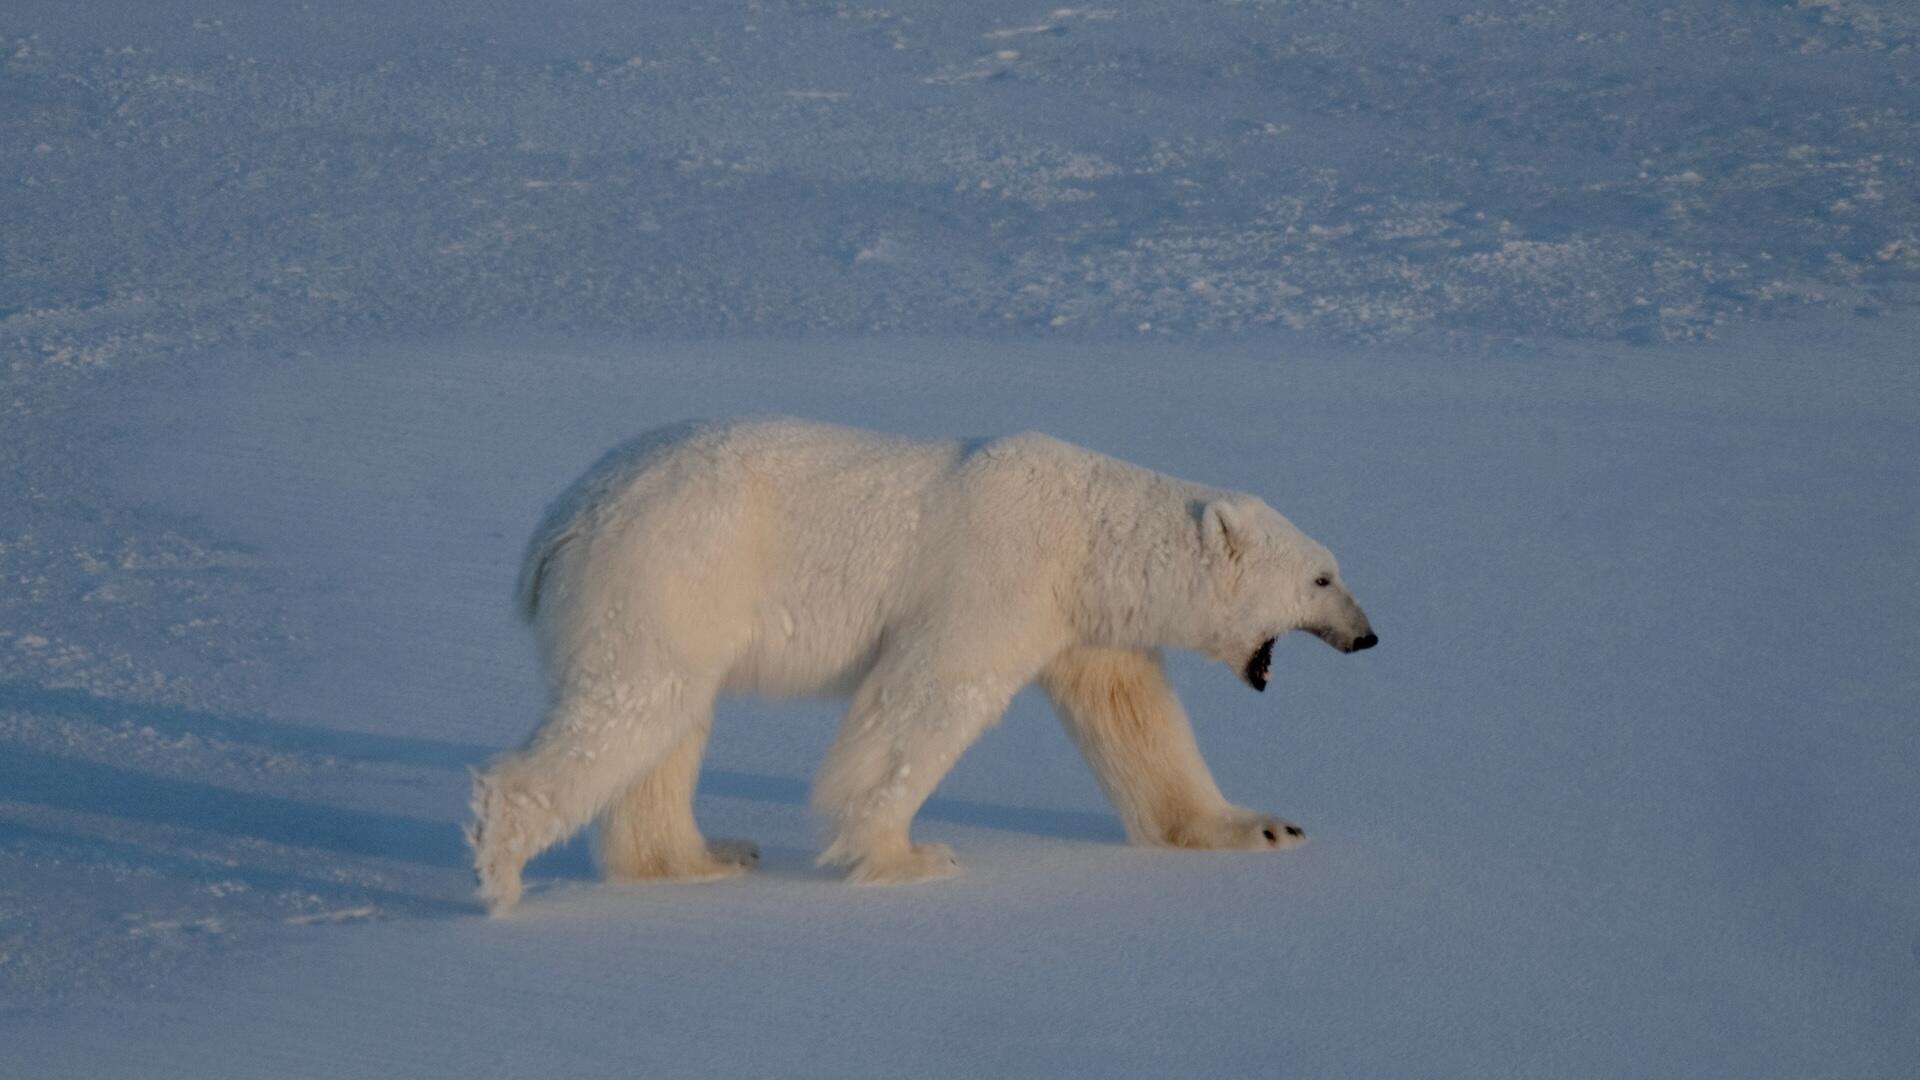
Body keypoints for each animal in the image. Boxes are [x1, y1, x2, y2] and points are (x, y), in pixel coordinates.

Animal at [468, 418, 1375, 914]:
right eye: (1322, 578)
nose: (1368, 636)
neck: (1086, 533)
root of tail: (559, 521)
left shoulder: (1084, 622)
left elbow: (1134, 718)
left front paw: (1263, 828)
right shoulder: (997, 575)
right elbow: (928, 696)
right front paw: (908, 855)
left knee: (667, 724)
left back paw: (701, 857)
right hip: (670, 569)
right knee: (631, 705)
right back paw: (501, 866)